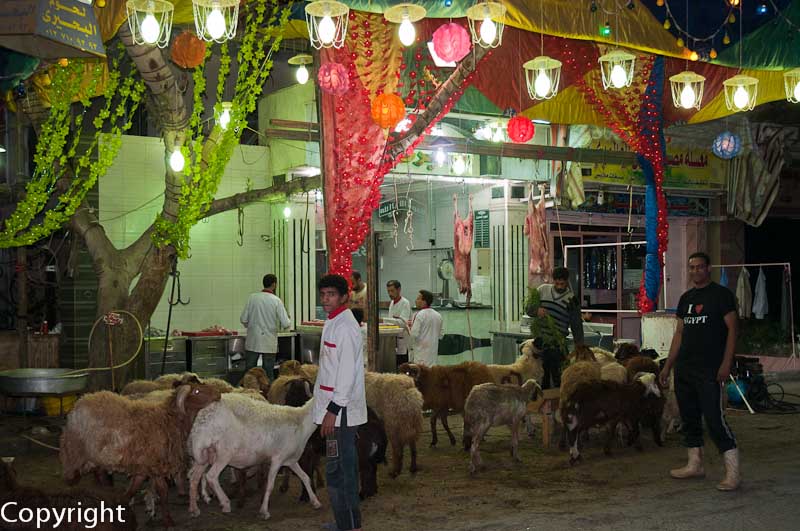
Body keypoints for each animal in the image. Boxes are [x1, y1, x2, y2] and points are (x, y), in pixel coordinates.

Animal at [59, 382, 222, 528]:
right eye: (196, 391)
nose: (218, 394)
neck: (169, 420)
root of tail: (80, 403)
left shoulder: (143, 467)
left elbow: (133, 488)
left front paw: (122, 504)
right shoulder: (155, 465)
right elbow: (163, 492)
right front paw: (168, 520)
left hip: (97, 456)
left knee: (98, 474)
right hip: (75, 453)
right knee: (72, 477)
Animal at [188, 390, 322, 520]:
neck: (301, 423)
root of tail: (202, 419)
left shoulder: (291, 460)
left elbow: (305, 477)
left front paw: (315, 502)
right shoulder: (277, 459)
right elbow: (270, 485)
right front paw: (264, 511)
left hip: (205, 453)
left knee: (194, 479)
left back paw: (194, 509)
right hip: (225, 452)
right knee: (211, 476)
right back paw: (225, 503)